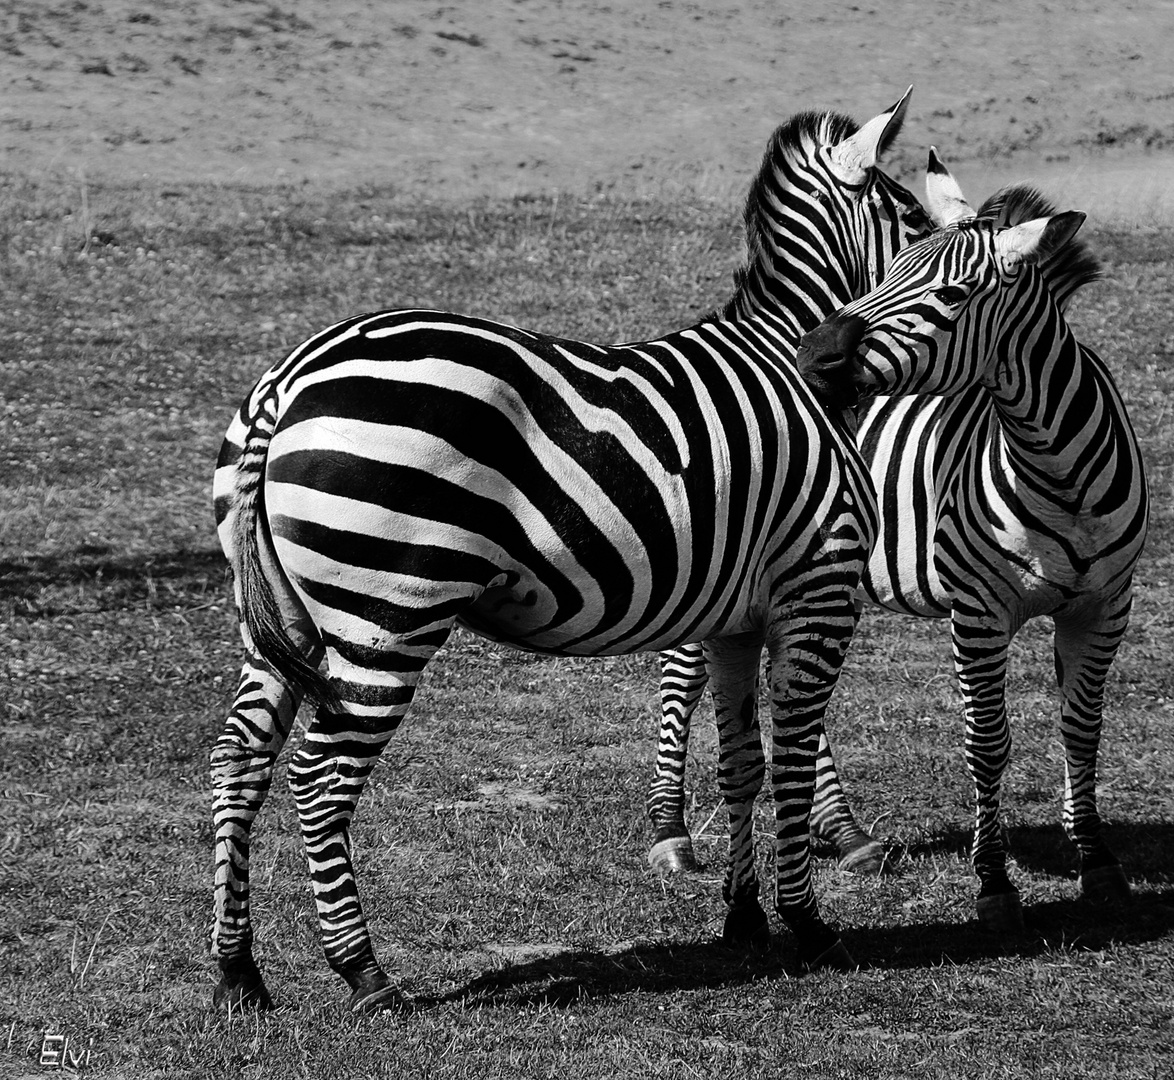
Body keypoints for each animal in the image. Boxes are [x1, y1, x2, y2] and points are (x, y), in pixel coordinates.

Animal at [204, 95, 943, 1014]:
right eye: (914, 223)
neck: (790, 364)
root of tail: (289, 379)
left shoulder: (738, 613)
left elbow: (744, 763)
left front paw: (743, 920)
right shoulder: (819, 590)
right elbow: (795, 762)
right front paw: (808, 925)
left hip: (279, 618)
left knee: (238, 761)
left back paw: (239, 973)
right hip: (389, 610)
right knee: (318, 777)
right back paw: (364, 973)